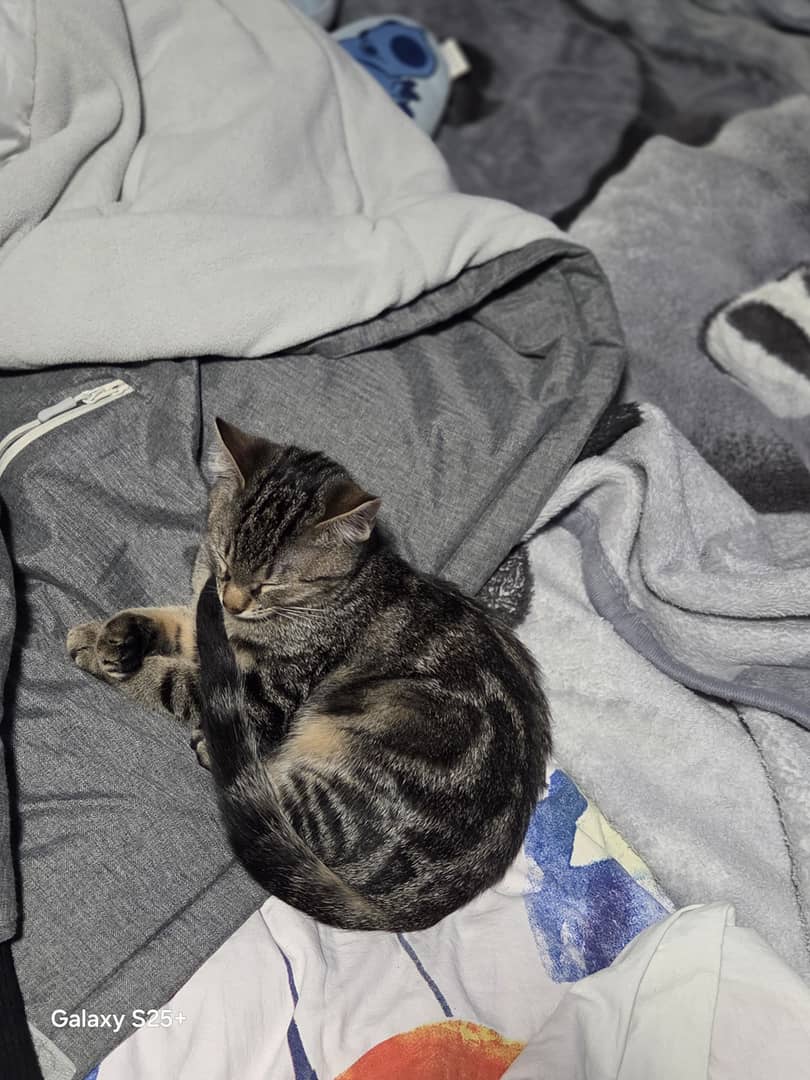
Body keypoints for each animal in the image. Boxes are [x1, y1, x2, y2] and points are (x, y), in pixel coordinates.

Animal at [67, 418, 552, 931]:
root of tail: (399, 912)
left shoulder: (266, 694)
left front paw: (108, 658)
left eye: (270, 583)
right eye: (224, 560)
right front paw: (111, 634)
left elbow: (177, 682)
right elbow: (178, 623)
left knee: (251, 788)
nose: (233, 600)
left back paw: (212, 749)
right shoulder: (209, 620)